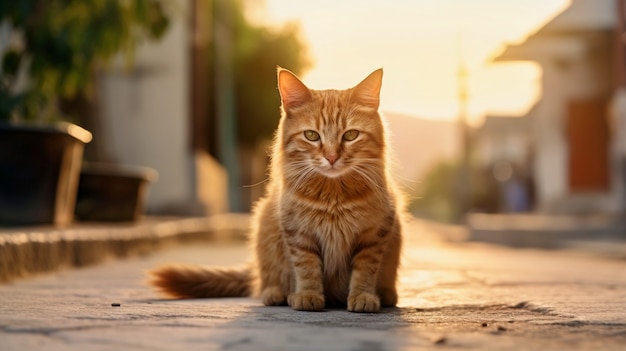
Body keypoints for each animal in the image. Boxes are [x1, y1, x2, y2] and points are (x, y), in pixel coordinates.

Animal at [152, 66, 404, 314]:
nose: (331, 157)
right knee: (267, 282)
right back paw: (277, 294)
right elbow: (307, 268)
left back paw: (386, 294)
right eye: (311, 135)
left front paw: (363, 296)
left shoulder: (373, 237)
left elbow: (364, 272)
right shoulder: (298, 234)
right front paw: (307, 295)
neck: (333, 196)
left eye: (350, 135)